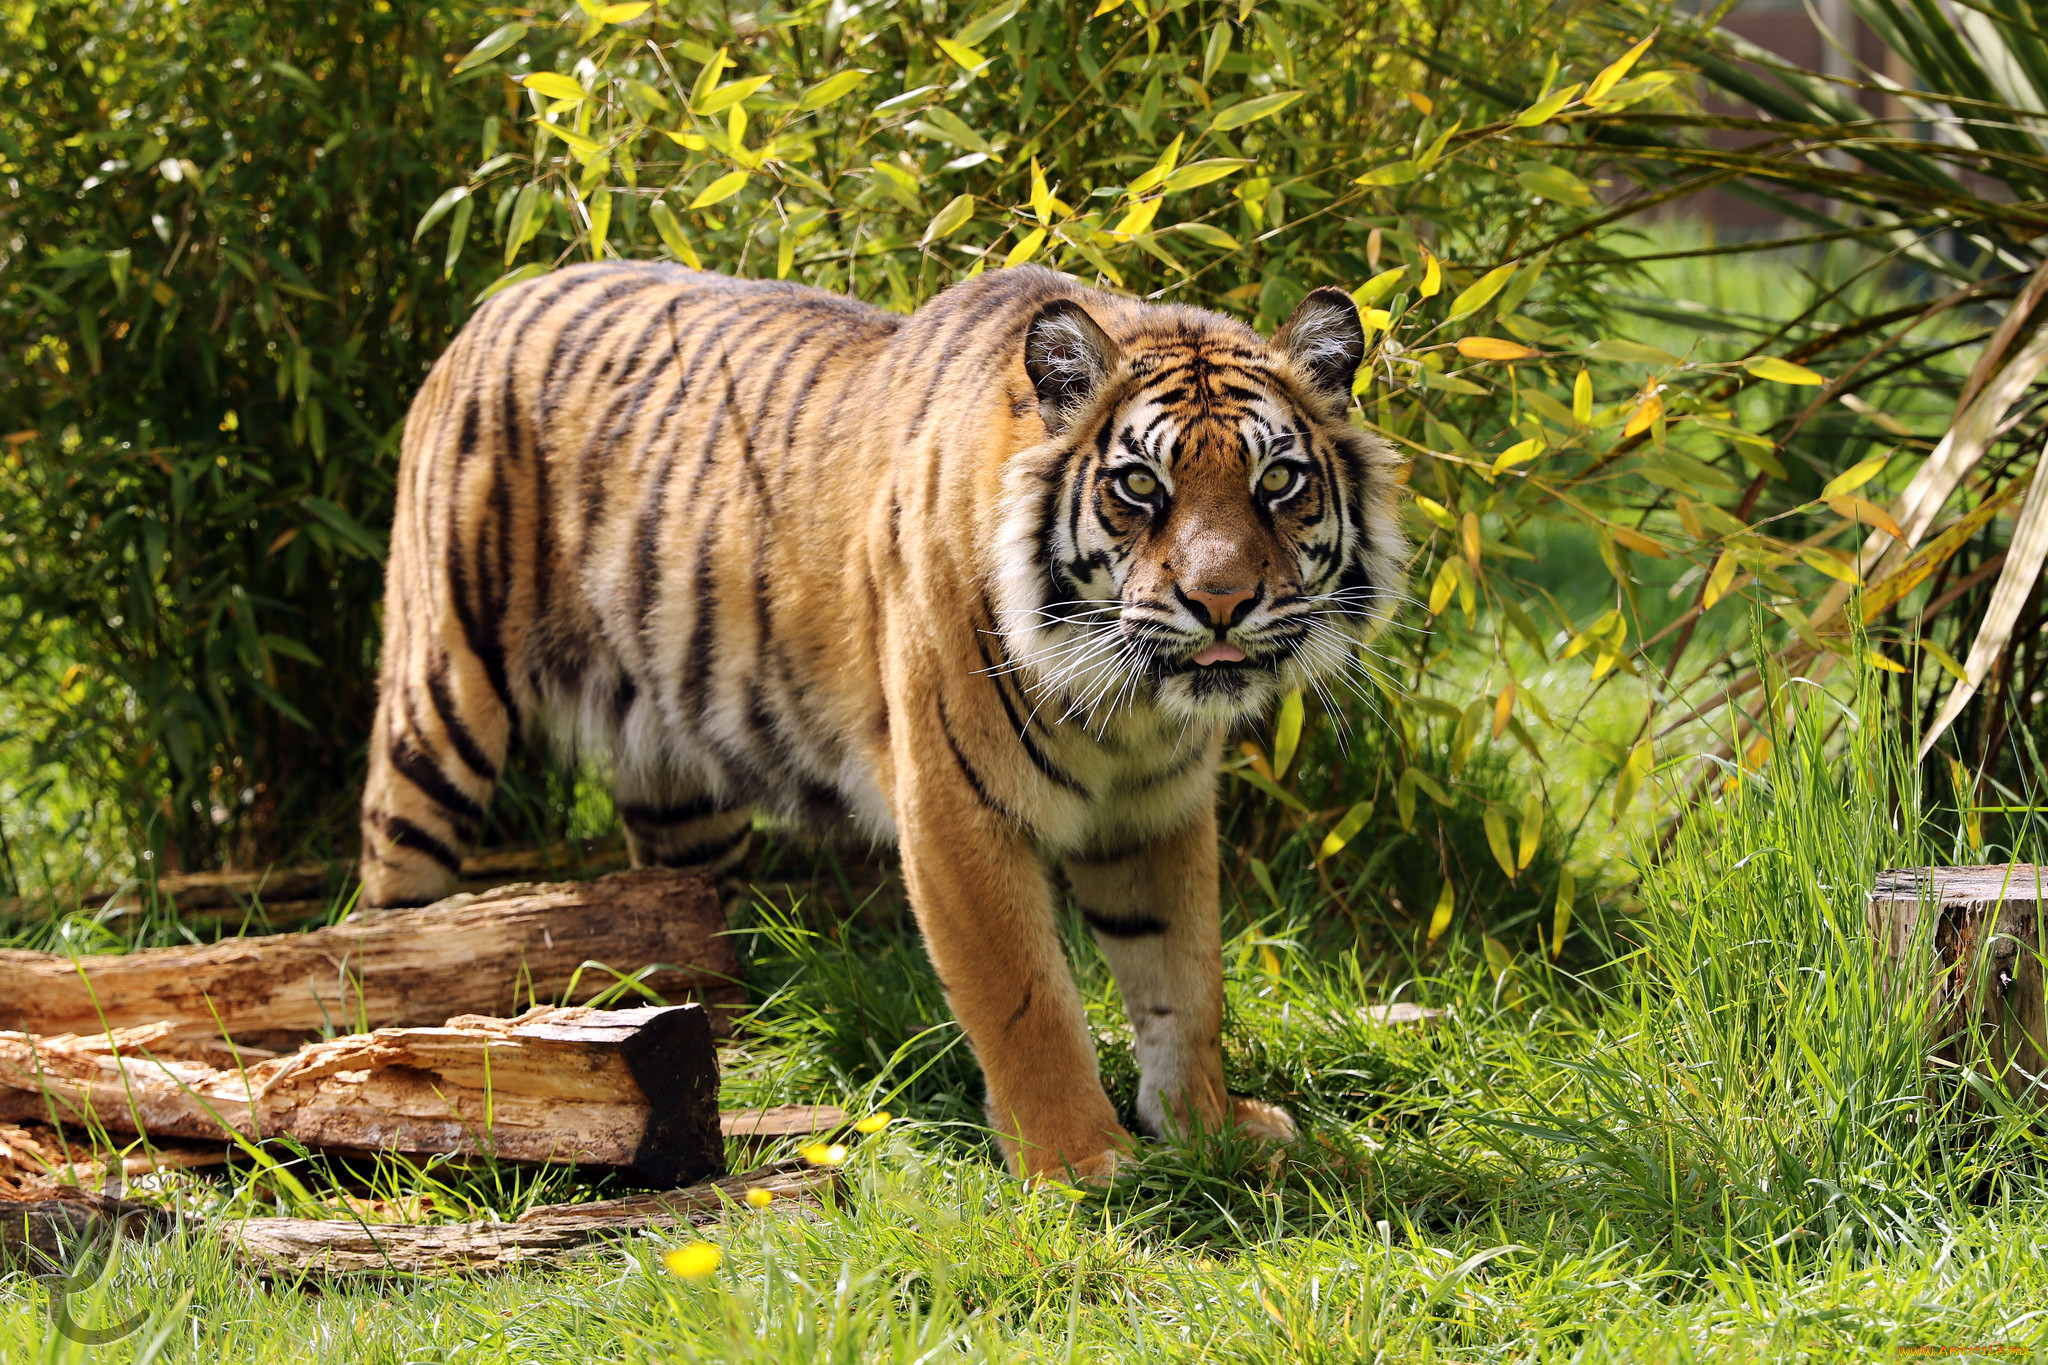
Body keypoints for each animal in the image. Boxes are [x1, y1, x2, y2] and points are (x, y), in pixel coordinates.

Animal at [356, 261, 1409, 1178]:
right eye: (1139, 485)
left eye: (1278, 482)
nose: (1220, 601)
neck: (1128, 707)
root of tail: (501, 295)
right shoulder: (955, 809)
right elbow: (1028, 998)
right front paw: (1080, 1160)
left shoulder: (1157, 813)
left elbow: (1185, 981)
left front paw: (1208, 1128)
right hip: (441, 698)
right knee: (391, 909)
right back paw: (394, 1056)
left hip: (679, 785)